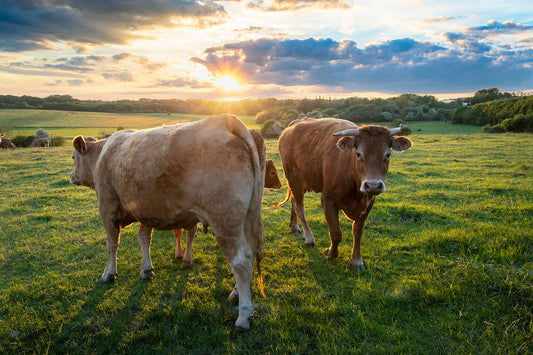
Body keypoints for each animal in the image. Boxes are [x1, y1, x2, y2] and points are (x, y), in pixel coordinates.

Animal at [71, 114, 268, 330]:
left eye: (73, 158)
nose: (71, 176)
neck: (103, 155)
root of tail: (227, 120)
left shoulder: (107, 208)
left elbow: (112, 244)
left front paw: (109, 274)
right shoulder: (146, 209)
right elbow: (144, 238)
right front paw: (146, 270)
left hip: (225, 220)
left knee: (241, 260)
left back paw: (243, 316)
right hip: (248, 216)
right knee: (250, 254)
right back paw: (236, 293)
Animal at [272, 117, 414, 270]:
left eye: (387, 154)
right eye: (358, 154)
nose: (373, 185)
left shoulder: (369, 202)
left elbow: (357, 231)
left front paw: (357, 260)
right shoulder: (328, 199)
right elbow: (336, 232)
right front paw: (331, 253)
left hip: (304, 180)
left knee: (293, 201)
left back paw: (294, 226)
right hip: (293, 178)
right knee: (299, 206)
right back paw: (309, 238)